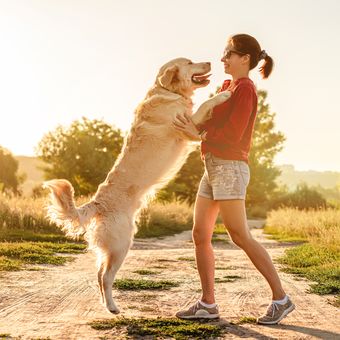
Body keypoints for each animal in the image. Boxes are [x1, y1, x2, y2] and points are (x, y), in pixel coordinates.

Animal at [43, 57, 231, 314]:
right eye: (190, 62)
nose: (210, 61)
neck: (168, 92)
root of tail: (97, 203)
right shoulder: (187, 126)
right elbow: (205, 105)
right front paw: (223, 94)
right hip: (122, 244)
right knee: (105, 276)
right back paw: (113, 307)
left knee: (99, 274)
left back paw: (106, 305)